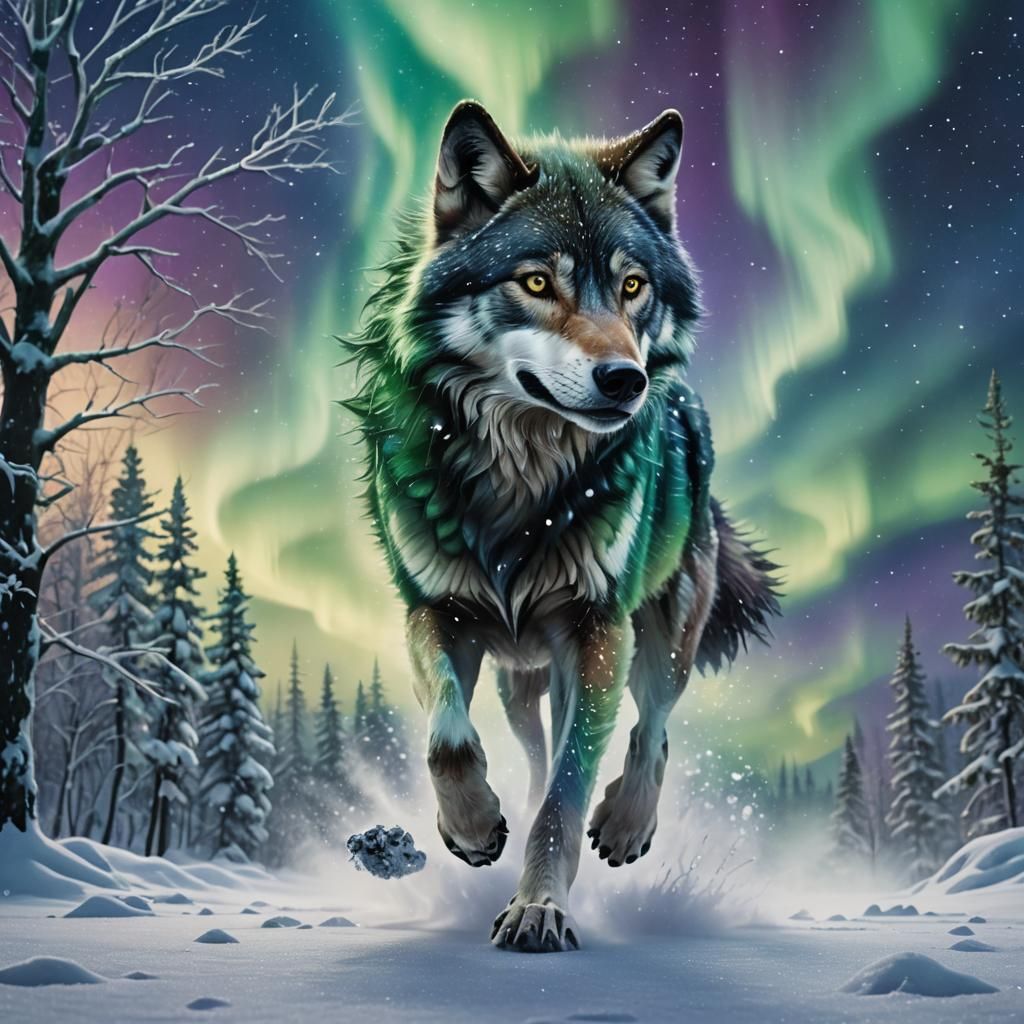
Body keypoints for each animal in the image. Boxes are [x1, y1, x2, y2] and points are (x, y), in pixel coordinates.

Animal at [346, 101, 780, 953]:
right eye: (538, 282)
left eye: (633, 286)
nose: (626, 380)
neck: (523, 480)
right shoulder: (432, 611)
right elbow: (450, 740)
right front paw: (472, 827)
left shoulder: (598, 629)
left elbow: (570, 794)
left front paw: (539, 908)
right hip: (521, 680)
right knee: (537, 751)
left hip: (664, 633)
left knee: (651, 728)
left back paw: (625, 824)